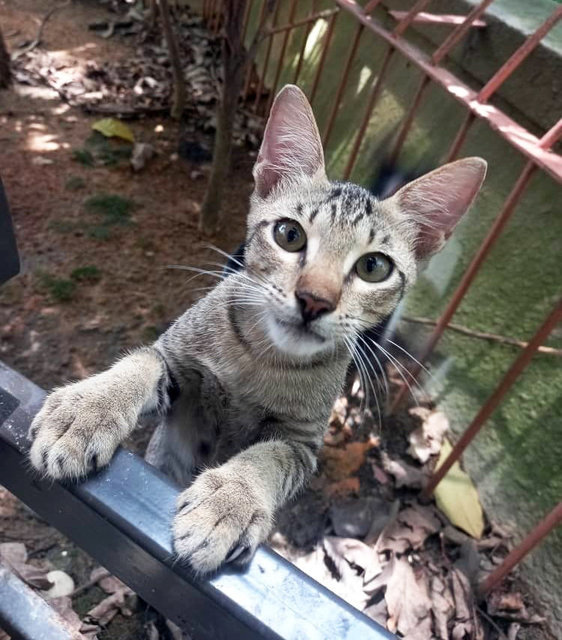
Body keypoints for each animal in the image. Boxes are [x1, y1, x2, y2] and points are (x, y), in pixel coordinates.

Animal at [29, 86, 486, 576]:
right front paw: (86, 411)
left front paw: (230, 501)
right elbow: (140, 362)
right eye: (289, 234)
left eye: (373, 267)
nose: (314, 299)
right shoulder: (174, 357)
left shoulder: (301, 442)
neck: (262, 358)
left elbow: (268, 457)